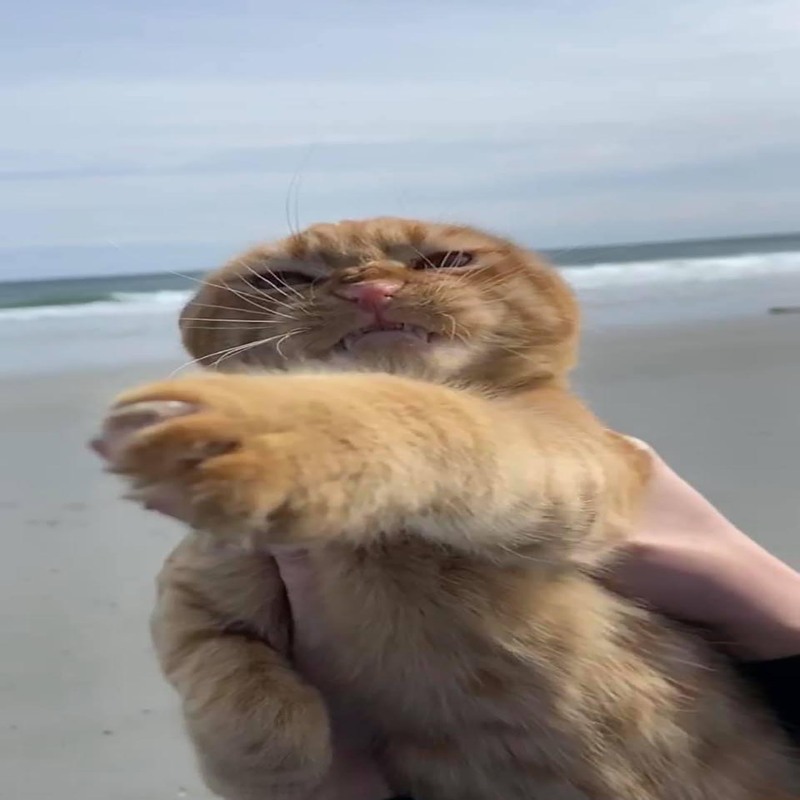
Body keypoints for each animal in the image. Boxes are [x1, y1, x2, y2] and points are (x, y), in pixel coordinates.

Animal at [92, 216, 792, 796]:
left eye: (445, 260)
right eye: (284, 277)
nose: (369, 288)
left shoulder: (569, 459)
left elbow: (429, 410)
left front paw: (275, 426)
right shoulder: (191, 593)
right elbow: (216, 670)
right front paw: (274, 750)